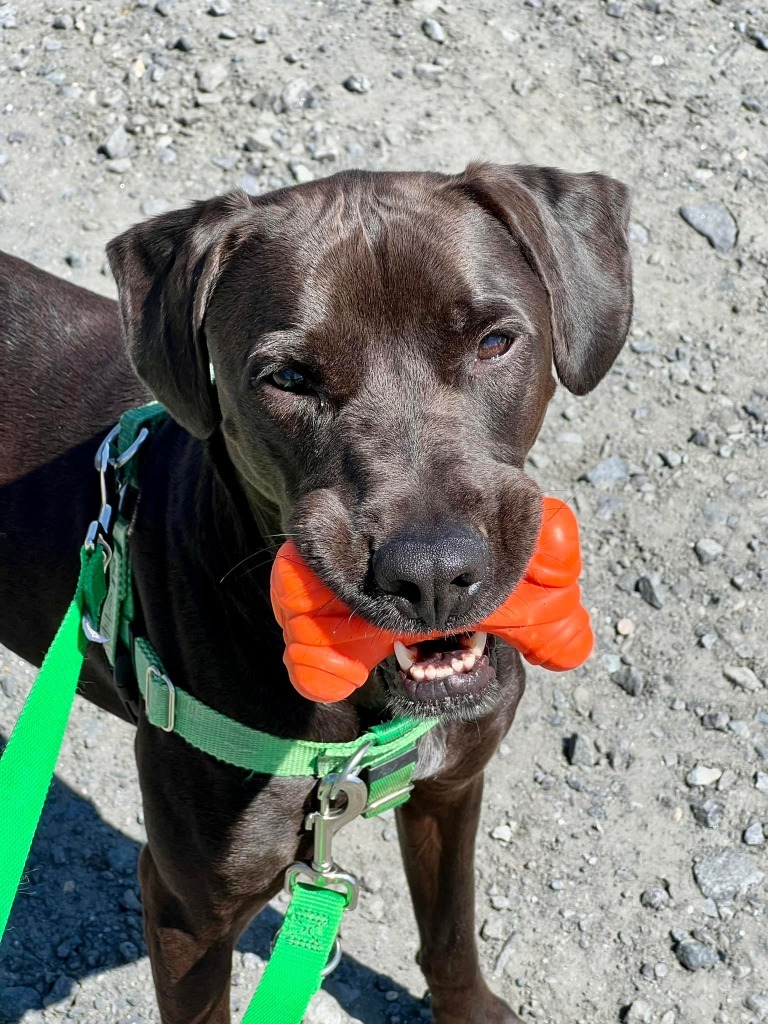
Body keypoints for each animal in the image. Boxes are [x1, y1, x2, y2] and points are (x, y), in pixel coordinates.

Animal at [0, 163, 630, 1019]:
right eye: (289, 378)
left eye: (495, 341)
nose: (432, 574)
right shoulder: (185, 909)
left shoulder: (451, 786)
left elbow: (449, 930)